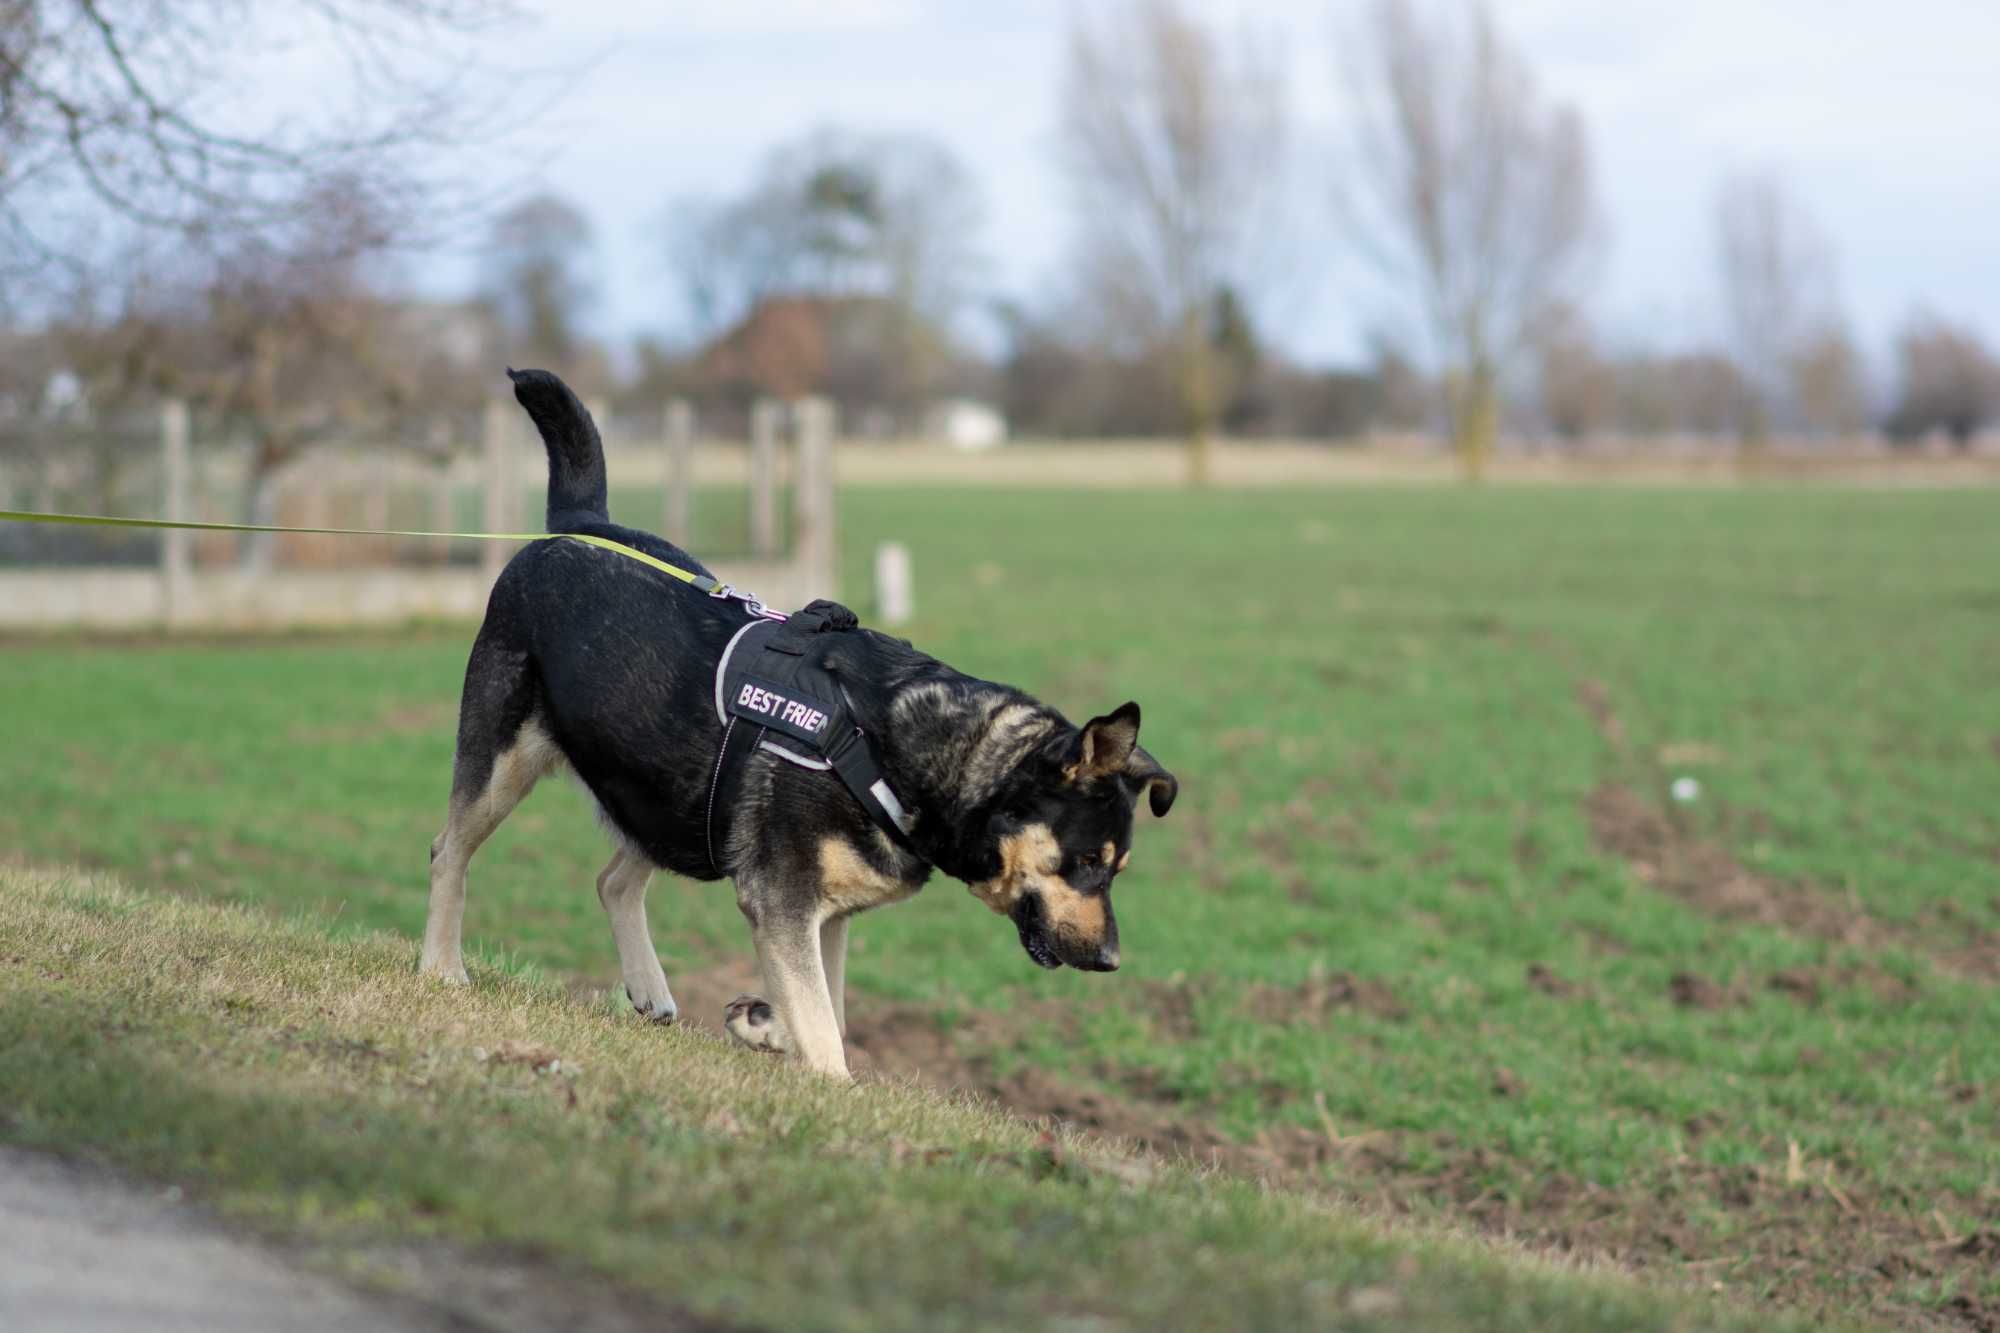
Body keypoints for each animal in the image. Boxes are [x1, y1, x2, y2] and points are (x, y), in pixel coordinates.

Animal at [422, 368, 1168, 1072]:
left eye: (1117, 867)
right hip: (506, 758)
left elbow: (823, 1007)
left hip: (673, 793)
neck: (899, 748)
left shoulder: (823, 914)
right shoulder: (782, 900)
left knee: (613, 880)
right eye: (1088, 861)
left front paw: (763, 1022)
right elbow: (824, 1032)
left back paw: (649, 987)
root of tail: (578, 523)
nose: (1111, 960)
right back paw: (442, 968)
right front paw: (820, 1071)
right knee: (449, 851)